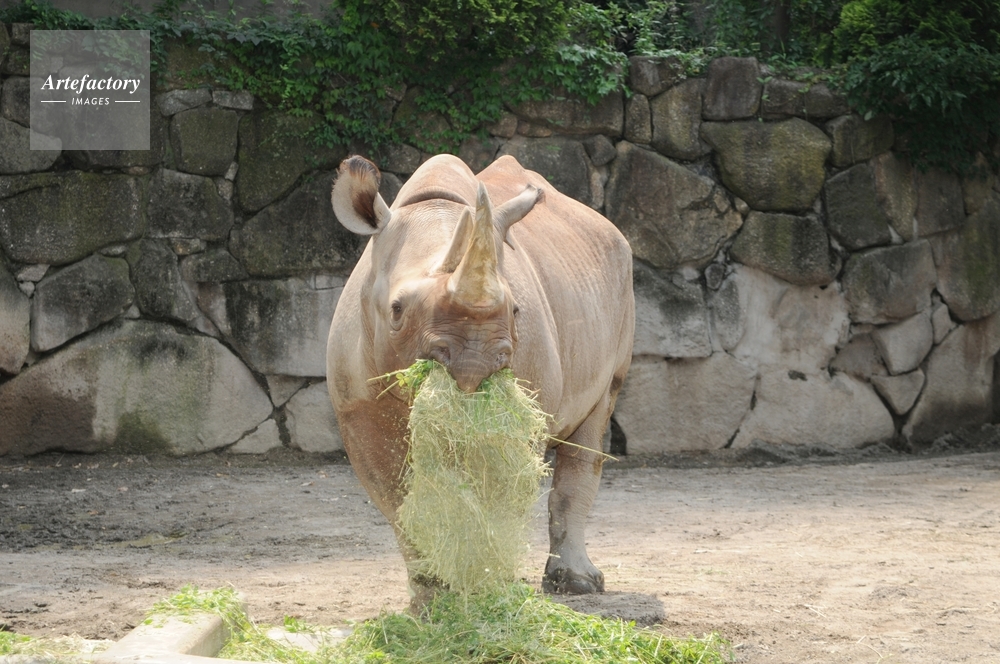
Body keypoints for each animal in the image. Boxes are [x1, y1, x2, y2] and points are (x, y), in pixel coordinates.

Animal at [327, 153, 634, 601]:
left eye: (517, 310)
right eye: (397, 309)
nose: (475, 362)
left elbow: (498, 492)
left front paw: (489, 587)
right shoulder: (357, 408)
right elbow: (398, 501)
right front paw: (433, 596)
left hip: (622, 280)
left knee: (596, 419)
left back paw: (577, 585)